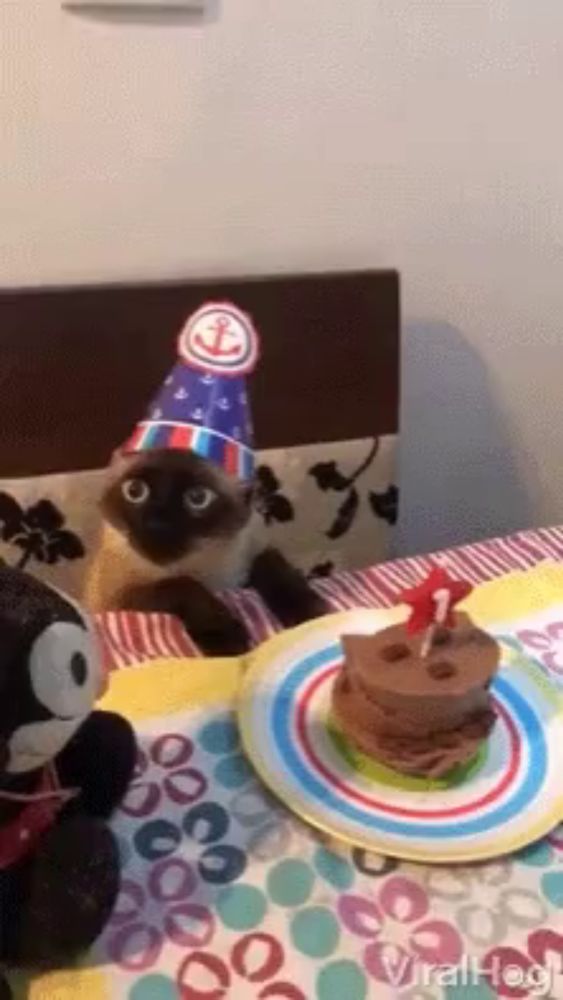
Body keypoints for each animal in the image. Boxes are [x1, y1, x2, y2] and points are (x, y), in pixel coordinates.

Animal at [83, 448, 326, 656]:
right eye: (134, 491)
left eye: (198, 498)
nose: (156, 525)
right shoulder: (117, 600)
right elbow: (182, 585)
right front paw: (227, 640)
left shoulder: (252, 557)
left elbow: (274, 568)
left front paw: (311, 614)